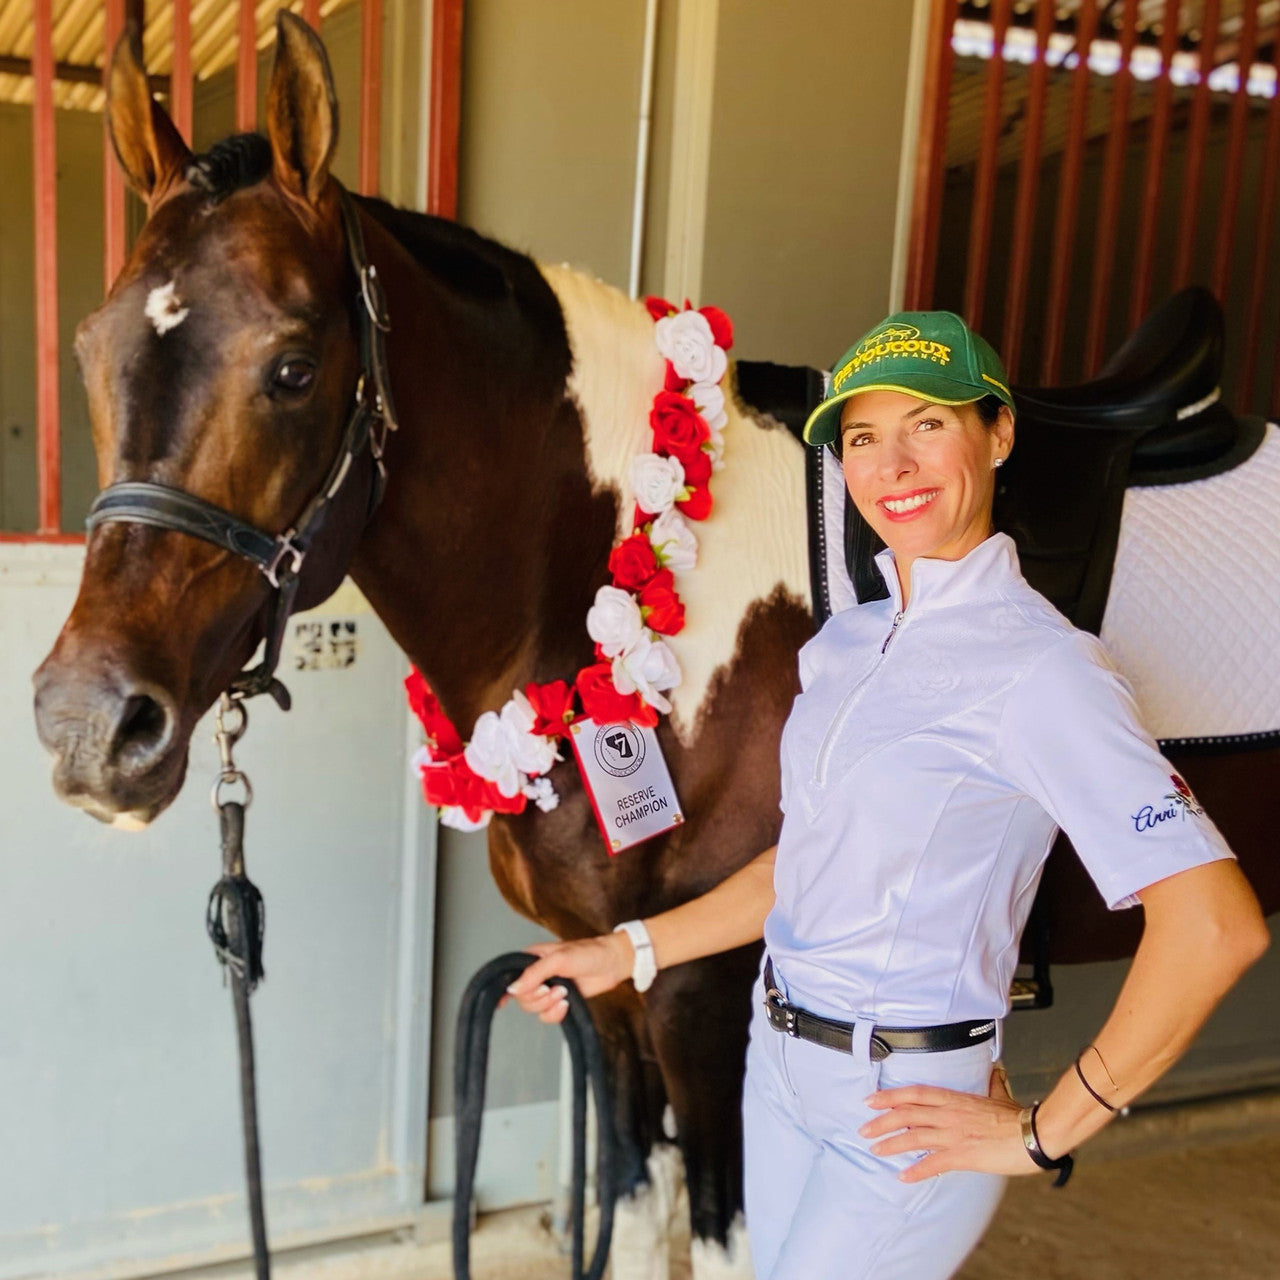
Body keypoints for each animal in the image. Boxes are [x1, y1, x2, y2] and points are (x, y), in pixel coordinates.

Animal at [27, 12, 1280, 1280]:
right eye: (86, 350)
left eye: (290, 365)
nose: (89, 726)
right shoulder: (611, 977)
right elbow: (634, 1209)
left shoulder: (708, 998)